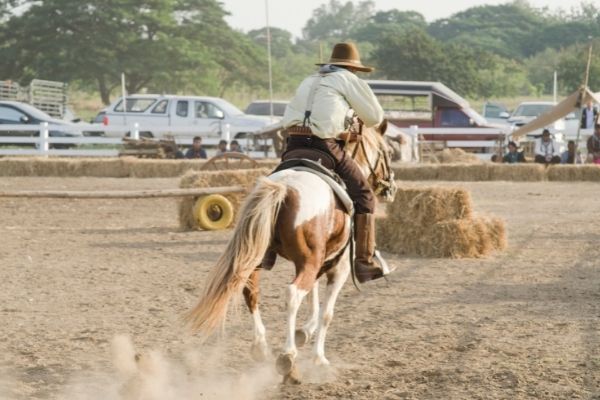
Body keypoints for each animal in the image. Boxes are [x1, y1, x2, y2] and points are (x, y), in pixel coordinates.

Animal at [185, 120, 396, 382]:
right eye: (388, 152)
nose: (391, 188)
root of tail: (283, 187)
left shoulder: (316, 262)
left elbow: (313, 297)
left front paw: (304, 331)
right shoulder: (338, 268)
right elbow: (326, 313)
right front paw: (319, 357)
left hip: (261, 256)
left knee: (250, 290)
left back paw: (261, 347)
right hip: (308, 262)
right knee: (293, 295)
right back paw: (287, 357)